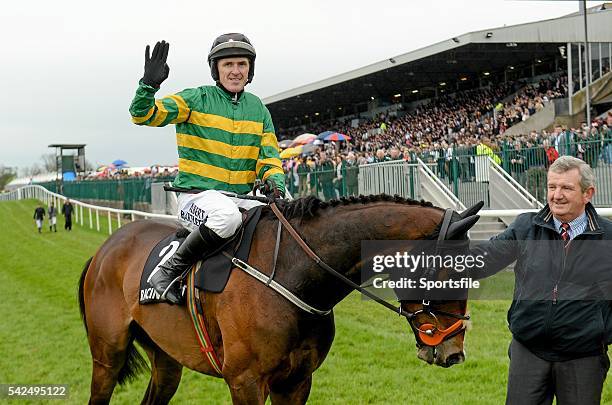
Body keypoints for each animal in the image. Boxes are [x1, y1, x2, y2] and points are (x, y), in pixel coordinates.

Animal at [77, 194, 482, 402]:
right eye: (452, 271)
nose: (454, 353)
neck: (292, 273)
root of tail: (105, 249)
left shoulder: (297, 380)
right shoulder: (245, 381)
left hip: (166, 360)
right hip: (107, 355)